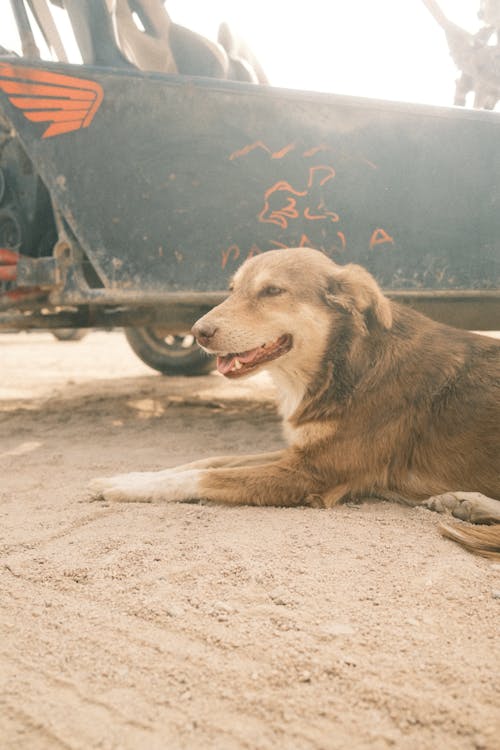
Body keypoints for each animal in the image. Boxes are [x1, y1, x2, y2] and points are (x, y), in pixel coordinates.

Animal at [90, 248, 500, 560]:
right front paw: (132, 476)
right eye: (232, 289)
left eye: (272, 290)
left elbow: (205, 476)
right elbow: (209, 460)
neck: (345, 363)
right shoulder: (299, 452)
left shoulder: (310, 473)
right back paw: (467, 503)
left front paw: (125, 488)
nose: (197, 332)